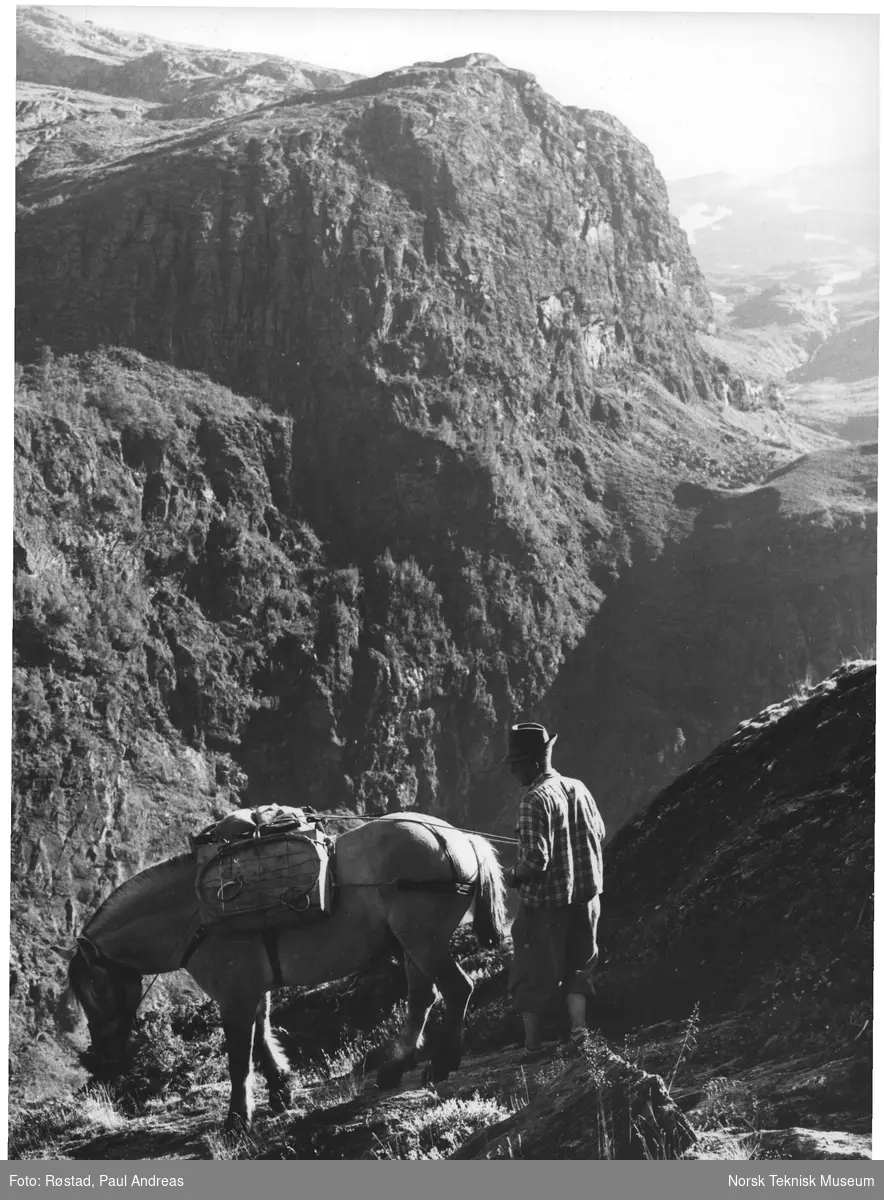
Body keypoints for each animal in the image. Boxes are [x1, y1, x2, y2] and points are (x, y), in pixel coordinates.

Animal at [63, 811, 503, 1128]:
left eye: (95, 989)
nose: (100, 1059)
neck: (196, 914)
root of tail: (457, 839)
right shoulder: (251, 990)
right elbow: (261, 1038)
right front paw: (280, 1093)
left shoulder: (235, 995)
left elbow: (240, 1058)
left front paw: (237, 1120)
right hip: (413, 945)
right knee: (422, 998)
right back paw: (396, 1066)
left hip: (423, 940)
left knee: (457, 988)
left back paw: (443, 1061)